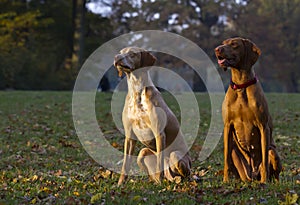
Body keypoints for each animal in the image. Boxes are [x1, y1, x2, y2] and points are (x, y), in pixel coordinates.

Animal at [113, 46, 191, 186]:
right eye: (120, 52)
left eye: (132, 54)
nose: (116, 57)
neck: (137, 92)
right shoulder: (129, 135)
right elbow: (125, 163)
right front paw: (120, 184)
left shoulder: (159, 133)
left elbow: (159, 161)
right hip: (142, 153)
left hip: (176, 156)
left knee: (182, 174)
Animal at [214, 37, 282, 183]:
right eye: (223, 42)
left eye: (234, 44)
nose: (217, 49)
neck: (241, 86)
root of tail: (252, 175)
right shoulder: (227, 126)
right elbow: (226, 160)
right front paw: (225, 180)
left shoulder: (263, 126)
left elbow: (264, 158)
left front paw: (264, 181)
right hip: (236, 154)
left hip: (273, 151)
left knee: (273, 169)